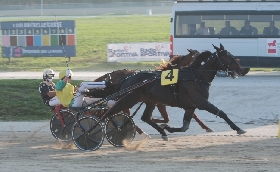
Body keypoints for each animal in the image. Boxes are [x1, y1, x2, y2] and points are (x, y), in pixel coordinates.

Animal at [88, 44, 246, 140]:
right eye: (227, 56)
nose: (240, 69)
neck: (196, 77)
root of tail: (126, 79)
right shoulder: (201, 102)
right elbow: (221, 113)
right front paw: (238, 128)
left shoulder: (190, 106)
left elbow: (184, 126)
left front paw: (168, 128)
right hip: (128, 99)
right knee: (109, 113)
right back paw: (91, 131)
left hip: (149, 101)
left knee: (145, 117)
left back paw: (161, 132)